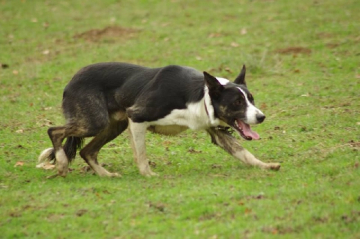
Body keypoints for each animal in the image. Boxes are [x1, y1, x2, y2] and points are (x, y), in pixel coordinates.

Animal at [37, 62, 278, 176]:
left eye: (251, 99)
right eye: (237, 102)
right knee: (54, 131)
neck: (199, 96)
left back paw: (107, 175)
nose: (261, 117)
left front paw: (265, 166)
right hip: (94, 122)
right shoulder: (136, 116)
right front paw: (149, 175)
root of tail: (71, 81)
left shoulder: (215, 131)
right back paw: (61, 164)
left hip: (113, 125)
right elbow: (141, 155)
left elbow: (243, 153)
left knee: (87, 151)